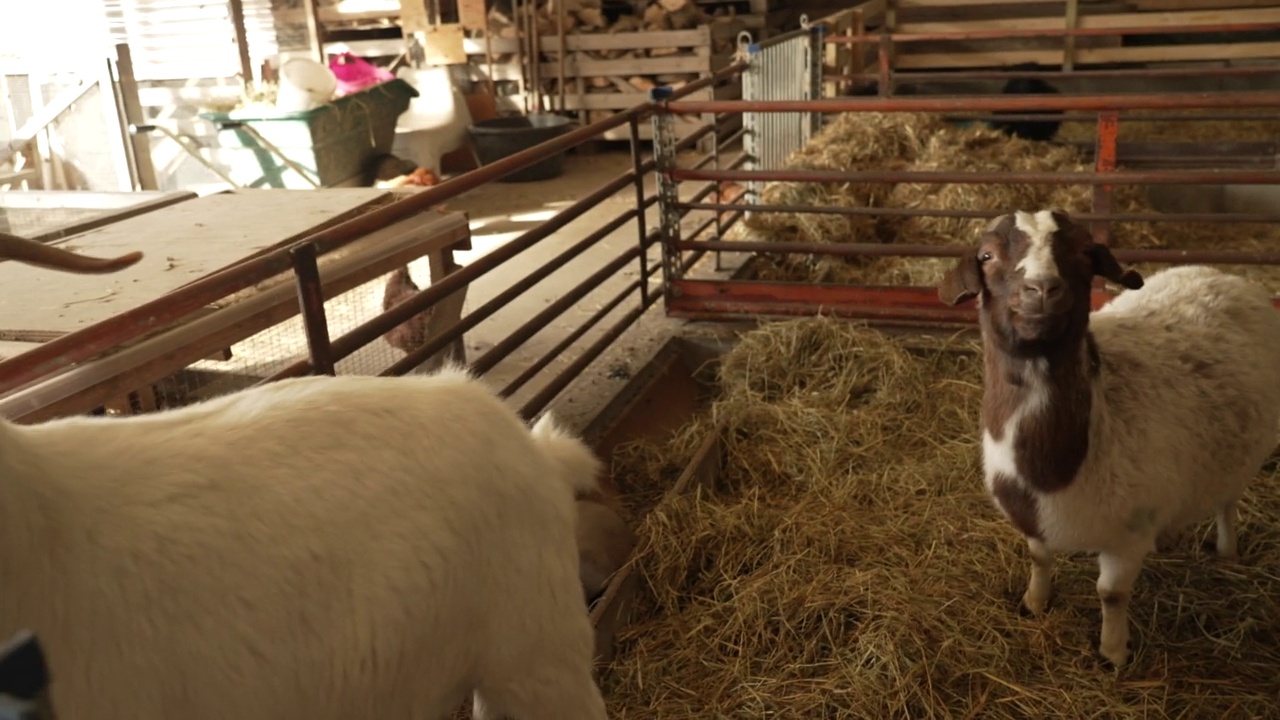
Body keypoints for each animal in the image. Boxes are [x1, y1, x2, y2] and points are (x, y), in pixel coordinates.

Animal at [936, 208, 1280, 666]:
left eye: (1085, 252)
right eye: (987, 256)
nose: (1042, 288)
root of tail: (1219, 274)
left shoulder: (1126, 534)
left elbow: (1111, 594)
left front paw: (1112, 653)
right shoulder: (1033, 517)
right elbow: (1039, 558)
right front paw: (1033, 603)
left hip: (1239, 458)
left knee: (1226, 502)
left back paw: (1227, 550)